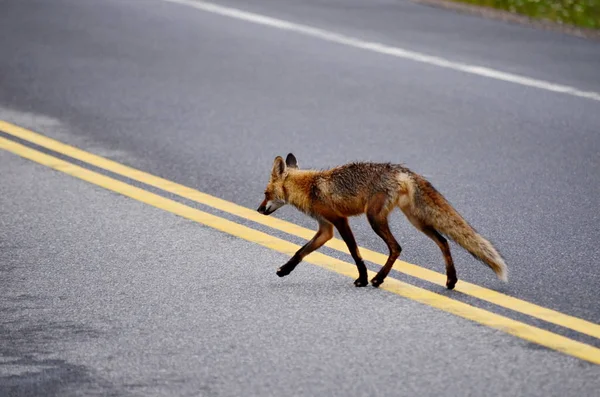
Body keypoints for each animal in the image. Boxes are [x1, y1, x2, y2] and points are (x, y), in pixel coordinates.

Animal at [255, 154, 508, 288]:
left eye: (266, 193)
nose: (258, 210)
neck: (310, 188)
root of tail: (400, 170)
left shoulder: (340, 221)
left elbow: (355, 253)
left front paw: (363, 278)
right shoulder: (326, 228)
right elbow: (301, 252)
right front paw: (285, 270)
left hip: (375, 219)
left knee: (396, 248)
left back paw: (378, 279)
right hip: (416, 220)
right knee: (444, 241)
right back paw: (451, 280)